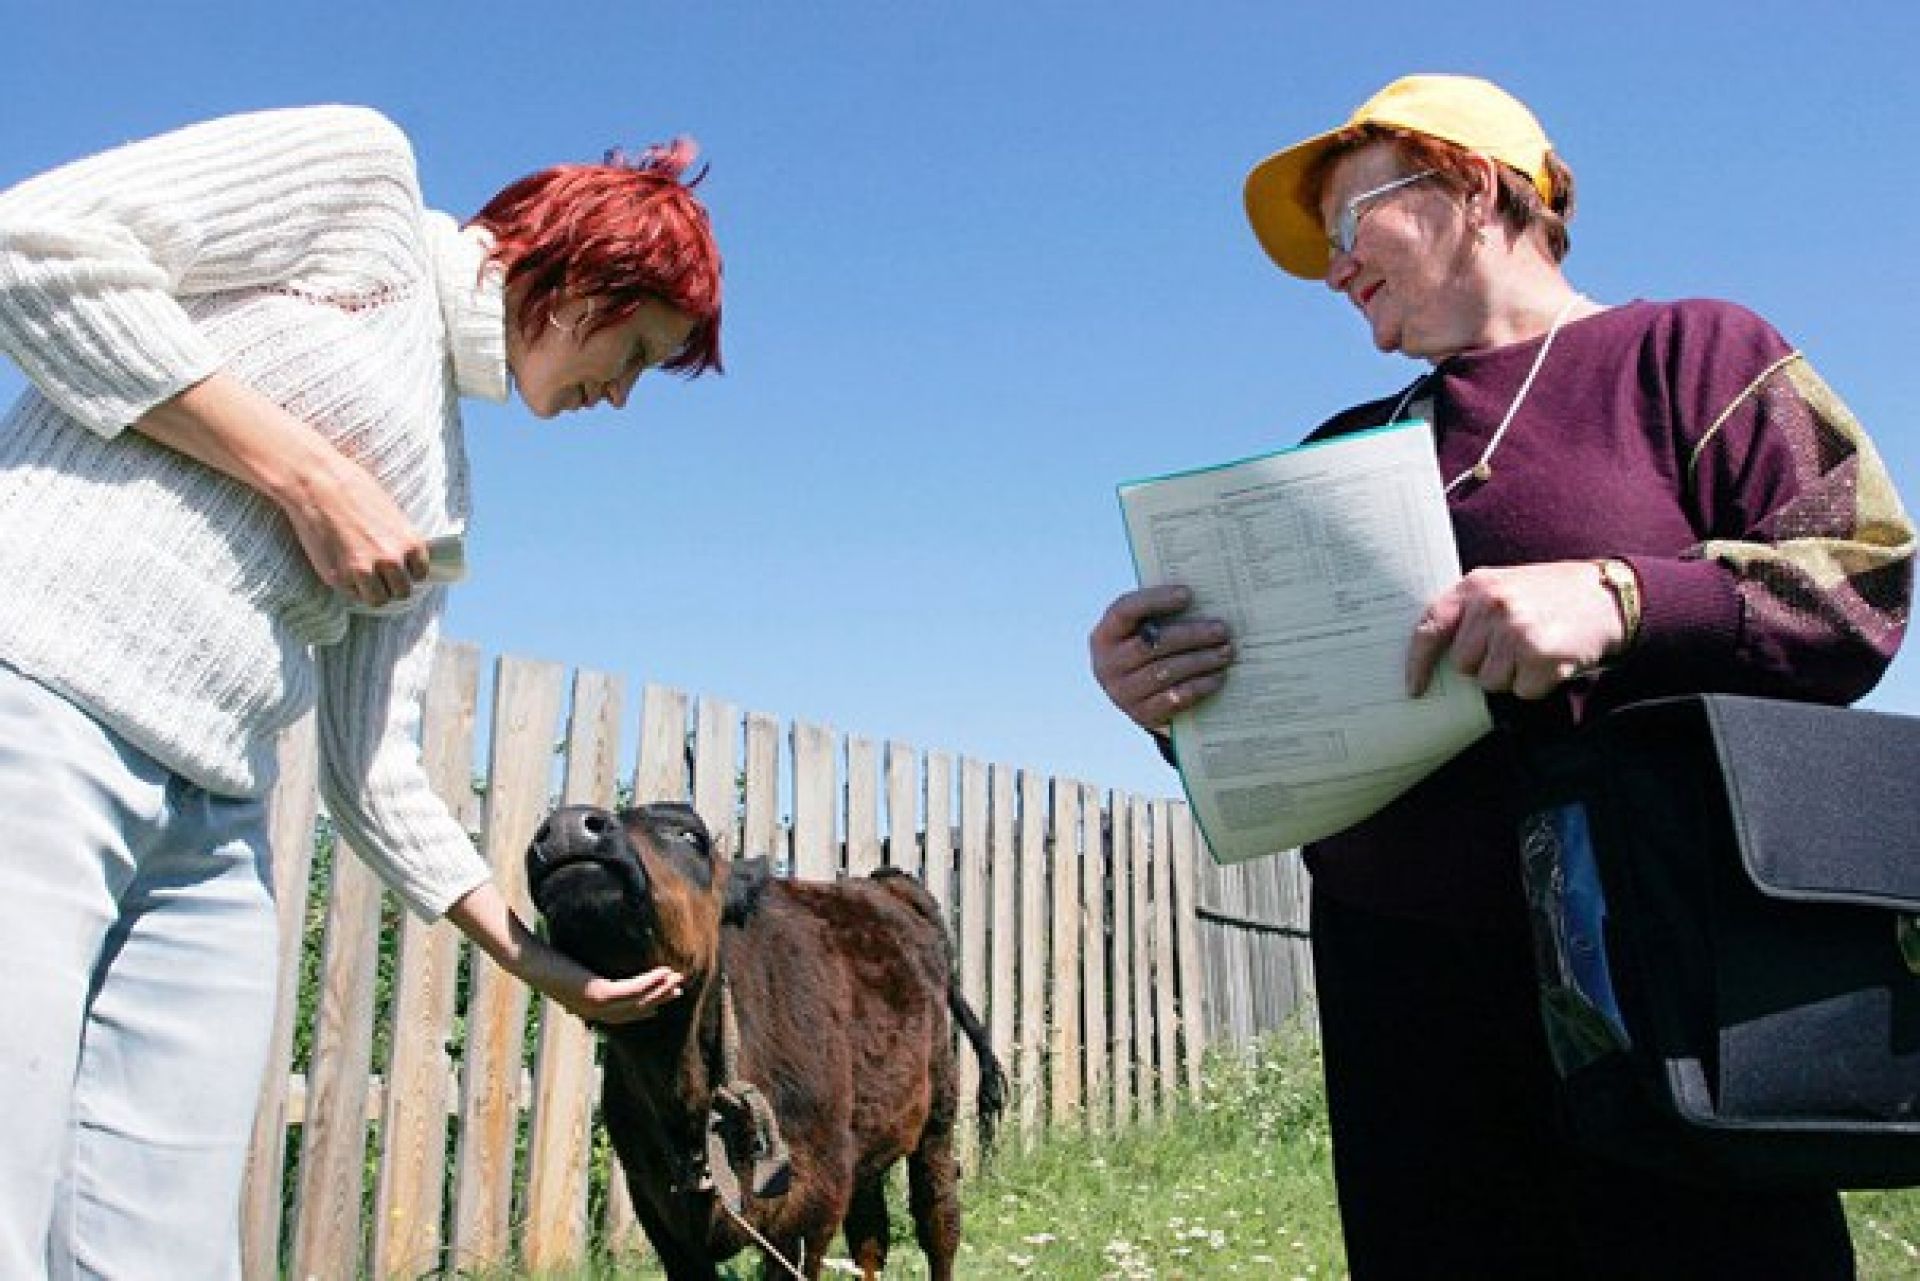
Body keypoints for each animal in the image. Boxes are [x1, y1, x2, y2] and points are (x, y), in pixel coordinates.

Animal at [526, 806, 1006, 1275]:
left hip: (937, 1116)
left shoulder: (812, 1201)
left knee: (939, 1221)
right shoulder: (659, 1211)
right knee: (870, 1235)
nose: (569, 825)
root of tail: (885, 884)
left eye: (689, 835)